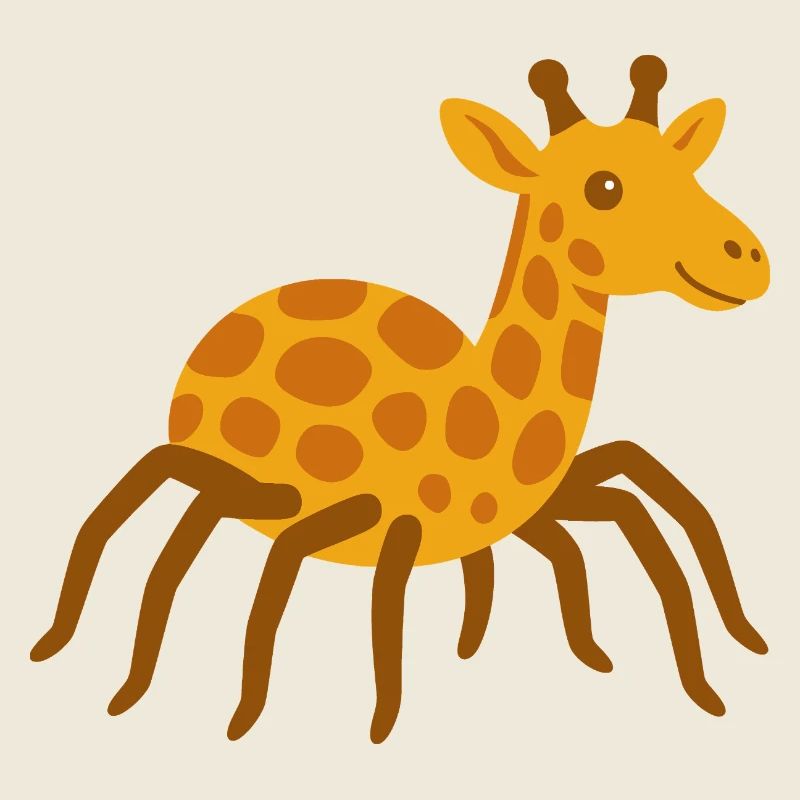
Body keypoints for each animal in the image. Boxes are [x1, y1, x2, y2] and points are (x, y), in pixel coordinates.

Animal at [32, 56, 770, 744]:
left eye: (691, 170)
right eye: (605, 187)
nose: (748, 257)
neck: (476, 418)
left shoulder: (560, 499)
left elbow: (654, 518)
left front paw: (709, 659)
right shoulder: (377, 525)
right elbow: (330, 597)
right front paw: (339, 721)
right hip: (230, 481)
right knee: (152, 514)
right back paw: (71, 652)